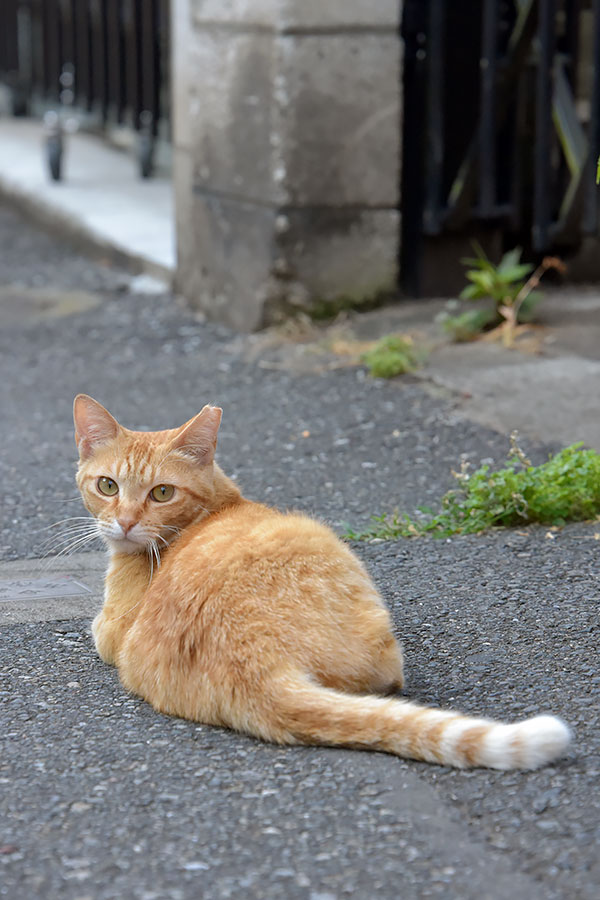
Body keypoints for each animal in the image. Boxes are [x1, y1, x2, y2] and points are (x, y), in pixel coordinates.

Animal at [72, 394, 568, 768]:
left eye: (162, 493)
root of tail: (259, 667)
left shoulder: (110, 634)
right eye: (108, 486)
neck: (217, 505)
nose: (125, 523)